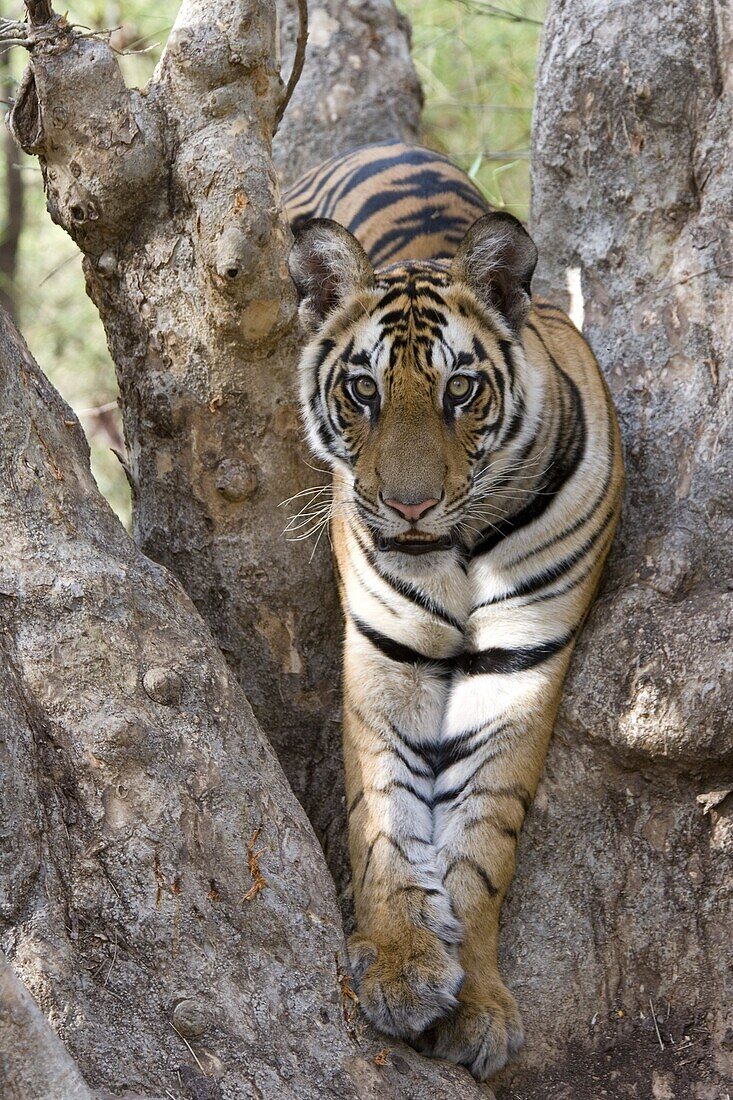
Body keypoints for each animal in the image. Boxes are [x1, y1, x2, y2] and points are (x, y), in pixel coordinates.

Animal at [281, 141, 620, 1078]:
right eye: (362, 391)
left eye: (459, 391)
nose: (407, 507)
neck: (458, 550)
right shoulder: (385, 651)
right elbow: (384, 813)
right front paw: (400, 963)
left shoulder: (519, 660)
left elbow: (481, 834)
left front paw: (474, 1002)